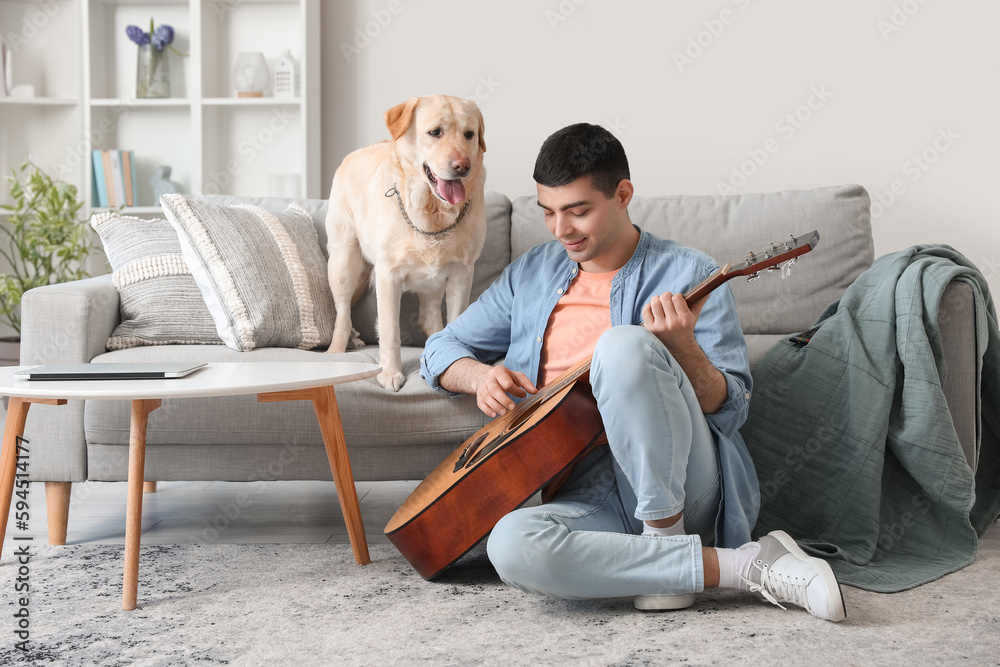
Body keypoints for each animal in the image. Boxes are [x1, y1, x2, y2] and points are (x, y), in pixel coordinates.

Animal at [326, 96, 486, 394]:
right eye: (435, 132)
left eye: (469, 134)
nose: (463, 166)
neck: (432, 214)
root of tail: (352, 155)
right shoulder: (388, 275)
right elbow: (390, 332)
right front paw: (390, 374)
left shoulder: (462, 272)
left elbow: (456, 319)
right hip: (343, 263)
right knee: (342, 316)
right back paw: (335, 352)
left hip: (433, 281)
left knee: (430, 318)